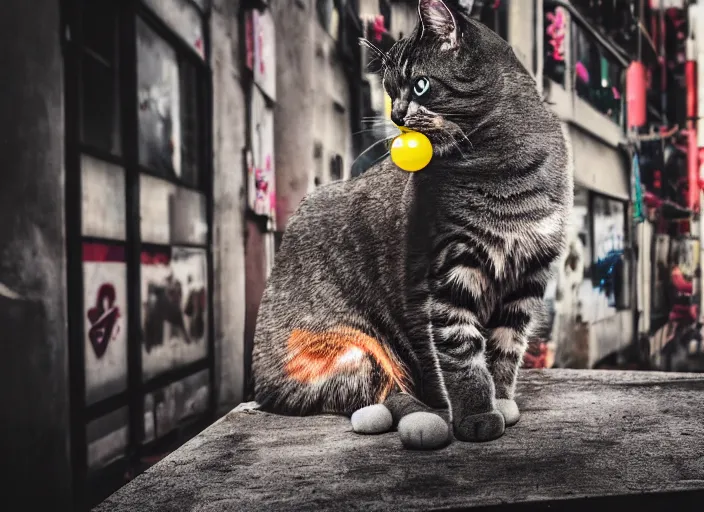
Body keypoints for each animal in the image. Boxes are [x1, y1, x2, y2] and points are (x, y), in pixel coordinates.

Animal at [248, 0, 572, 448]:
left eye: (419, 85)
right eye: (388, 91)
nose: (397, 114)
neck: (502, 169)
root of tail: (262, 389)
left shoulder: (528, 278)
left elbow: (505, 348)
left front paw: (502, 398)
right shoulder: (450, 271)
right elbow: (461, 353)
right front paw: (477, 415)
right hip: (350, 347)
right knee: (381, 392)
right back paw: (427, 418)